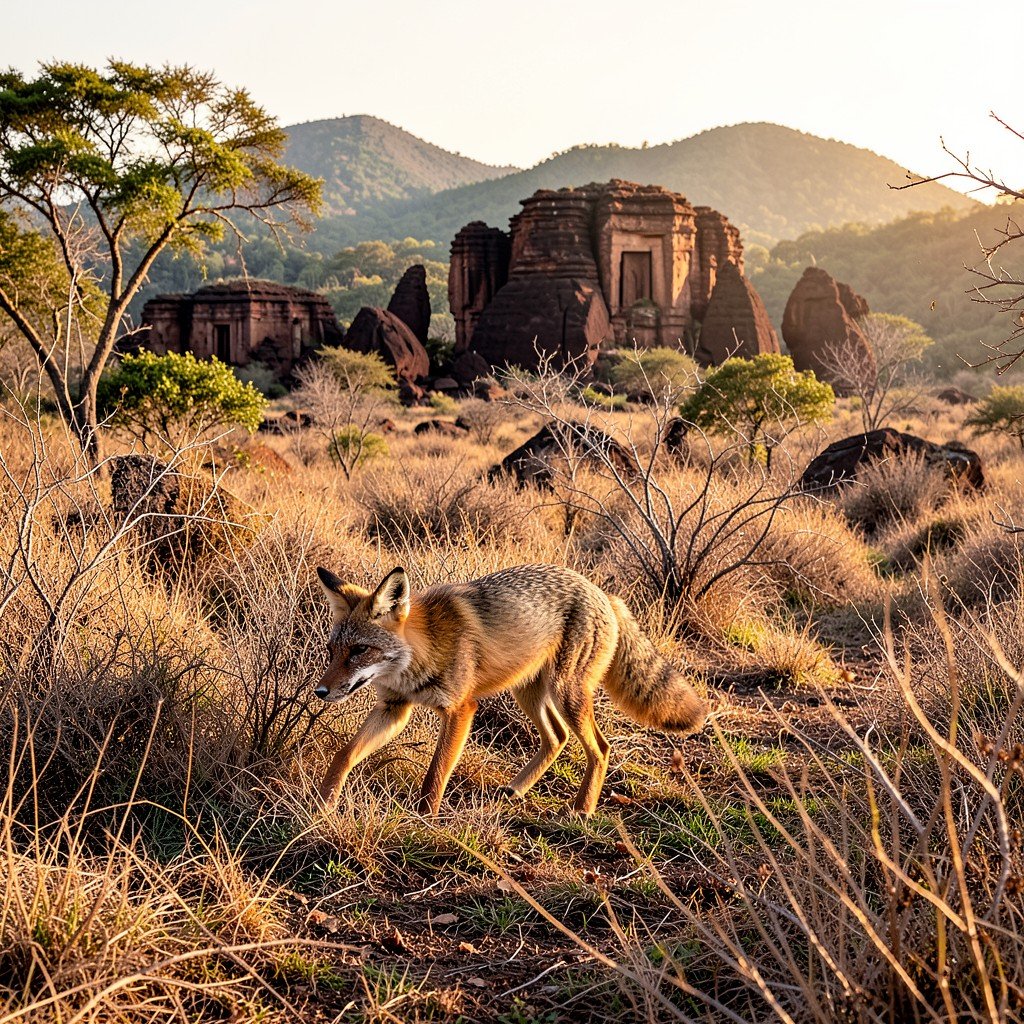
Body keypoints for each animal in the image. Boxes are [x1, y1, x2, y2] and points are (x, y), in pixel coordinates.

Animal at [312, 563, 707, 816]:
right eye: (332, 651)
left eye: (359, 650)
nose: (320, 692)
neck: (426, 648)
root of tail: (604, 594)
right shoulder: (394, 708)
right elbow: (344, 754)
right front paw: (323, 803)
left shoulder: (461, 709)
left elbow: (435, 774)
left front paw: (424, 819)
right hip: (529, 693)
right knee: (558, 738)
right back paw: (518, 789)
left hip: (567, 693)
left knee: (601, 747)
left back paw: (582, 809)